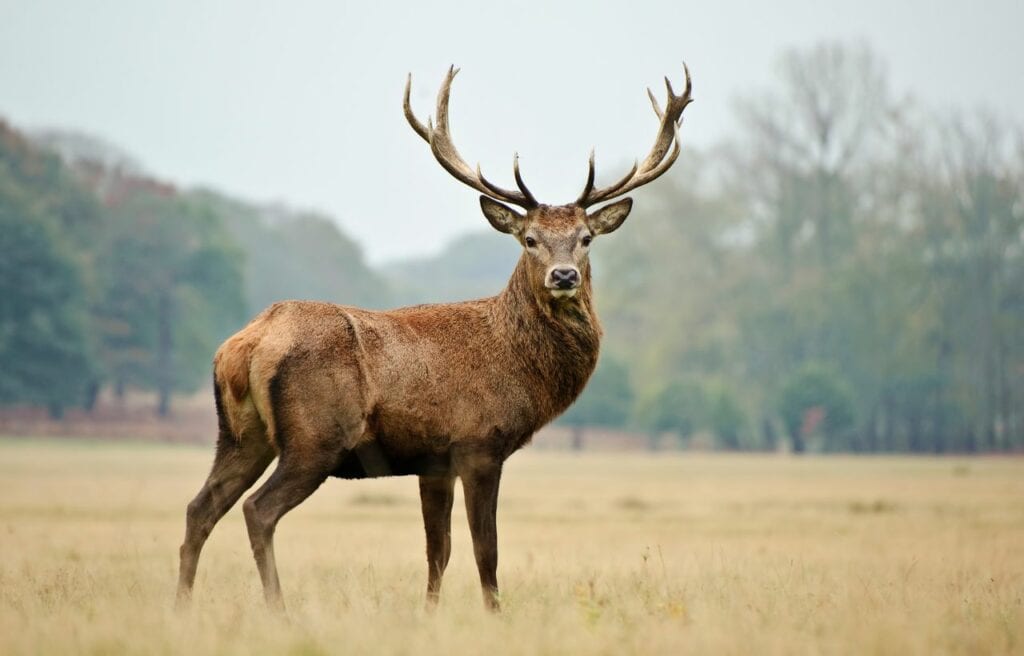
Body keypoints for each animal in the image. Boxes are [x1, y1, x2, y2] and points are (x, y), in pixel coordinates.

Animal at [175, 64, 692, 613]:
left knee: (199, 508)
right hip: (315, 437)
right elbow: (486, 550)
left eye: (586, 238)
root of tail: (245, 344)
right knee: (258, 510)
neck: (518, 365)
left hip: (239, 434)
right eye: (529, 239)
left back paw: (182, 605)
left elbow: (437, 551)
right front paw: (494, 614)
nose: (564, 275)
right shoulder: (479, 443)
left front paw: (430, 613)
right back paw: (278, 609)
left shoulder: (433, 461)